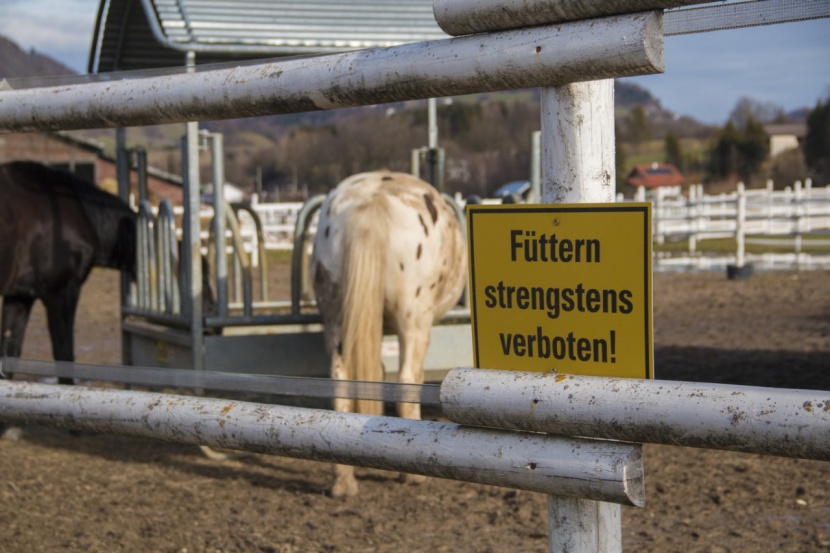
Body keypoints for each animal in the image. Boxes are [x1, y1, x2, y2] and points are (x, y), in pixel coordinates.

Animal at [311, 170, 467, 497]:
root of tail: (372, 201)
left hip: (335, 318)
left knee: (340, 378)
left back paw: (343, 479)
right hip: (414, 320)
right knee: (408, 378)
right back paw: (412, 475)